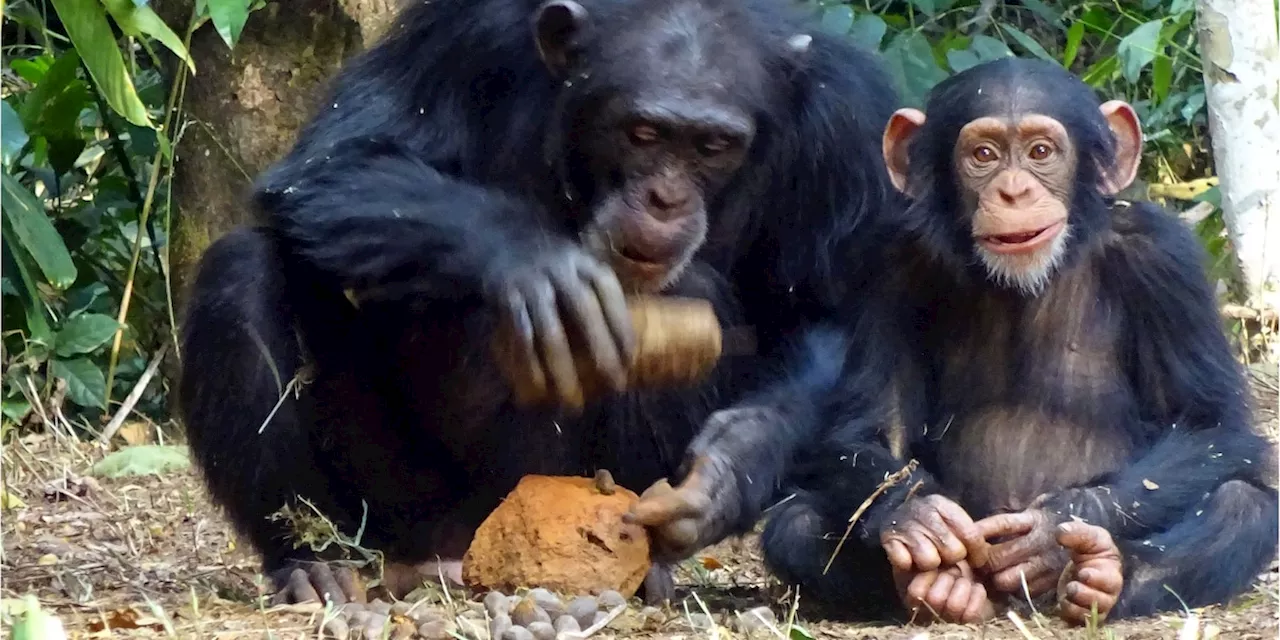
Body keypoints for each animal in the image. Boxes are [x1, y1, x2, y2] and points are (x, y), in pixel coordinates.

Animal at [177, 0, 901, 604]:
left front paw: (725, 472)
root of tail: (459, 555)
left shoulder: (844, 121)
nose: (664, 200)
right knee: (242, 271)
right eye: (642, 133)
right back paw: (311, 563)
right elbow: (334, 163)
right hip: (395, 509)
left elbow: (827, 312)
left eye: (713, 146)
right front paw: (533, 262)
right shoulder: (463, 33)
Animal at [747, 60, 1274, 624]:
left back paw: (1104, 575)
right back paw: (939, 589)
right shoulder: (889, 261)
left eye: (1041, 152)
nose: (1013, 191)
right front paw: (917, 513)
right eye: (984, 156)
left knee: (1243, 505)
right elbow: (872, 426)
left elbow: (1209, 423)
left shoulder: (1165, 257)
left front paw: (1052, 527)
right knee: (796, 523)